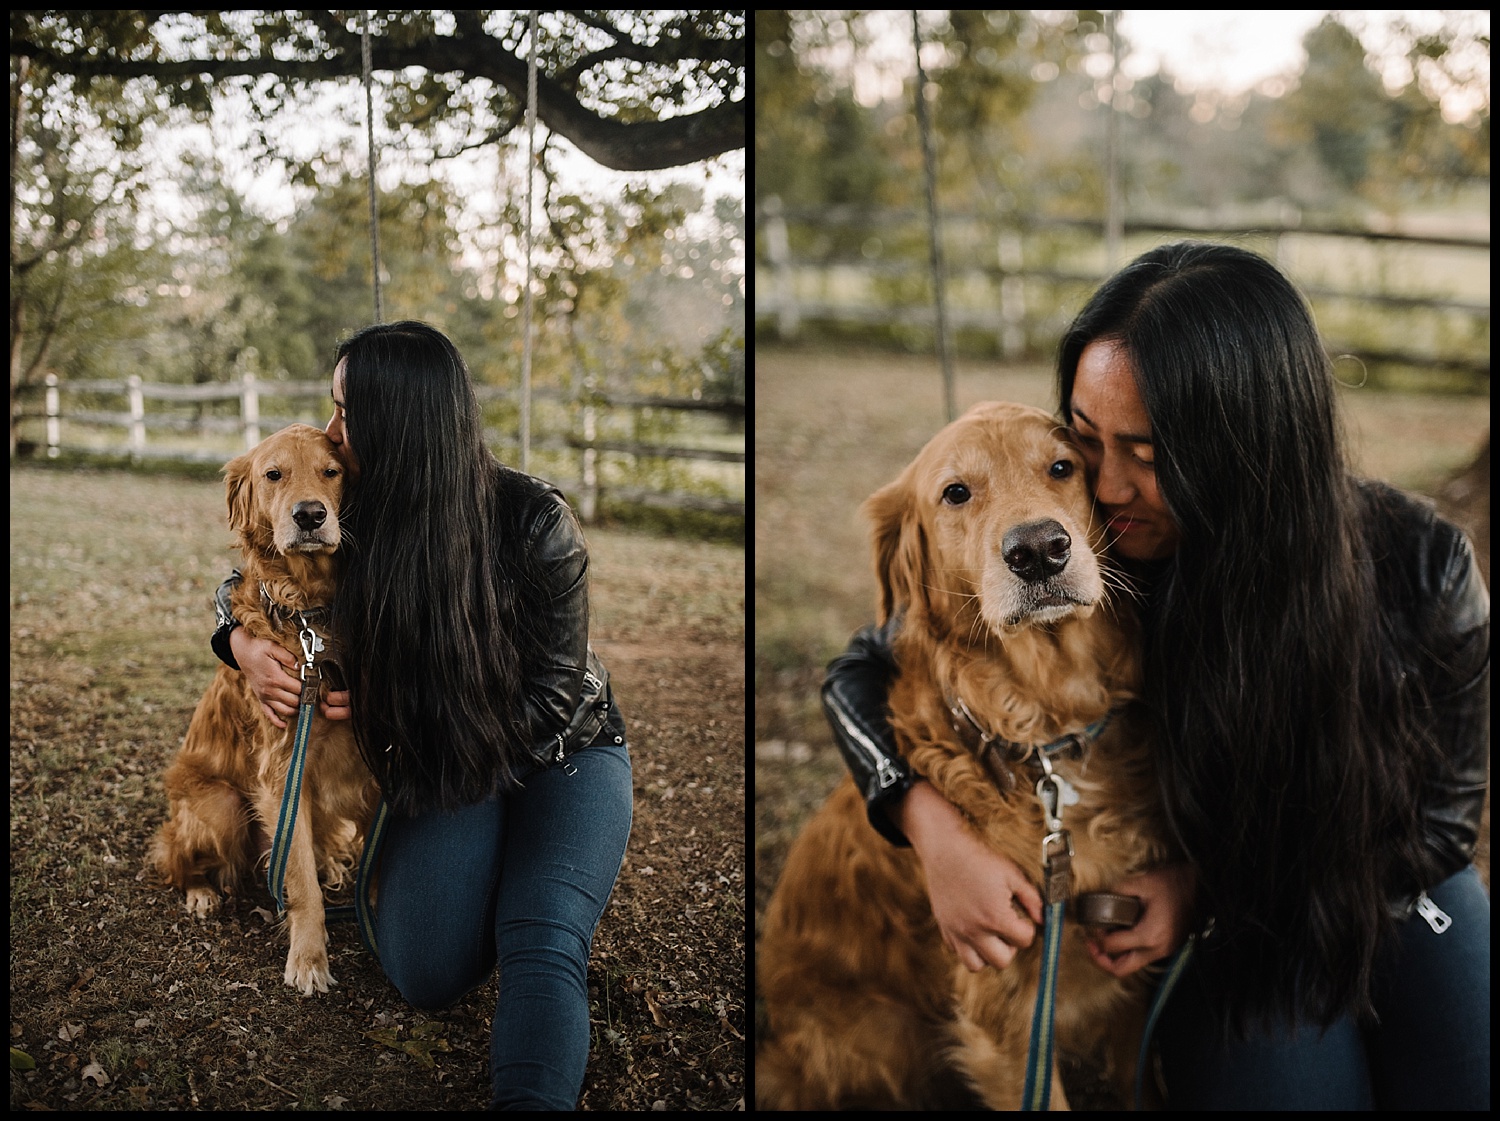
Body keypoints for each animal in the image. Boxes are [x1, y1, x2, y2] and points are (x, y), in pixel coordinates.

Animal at [150, 426, 381, 996]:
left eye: (332, 471)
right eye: (273, 474)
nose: (310, 515)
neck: (311, 613)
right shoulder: (280, 774)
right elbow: (298, 882)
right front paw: (309, 958)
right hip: (222, 807)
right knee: (172, 858)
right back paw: (201, 892)